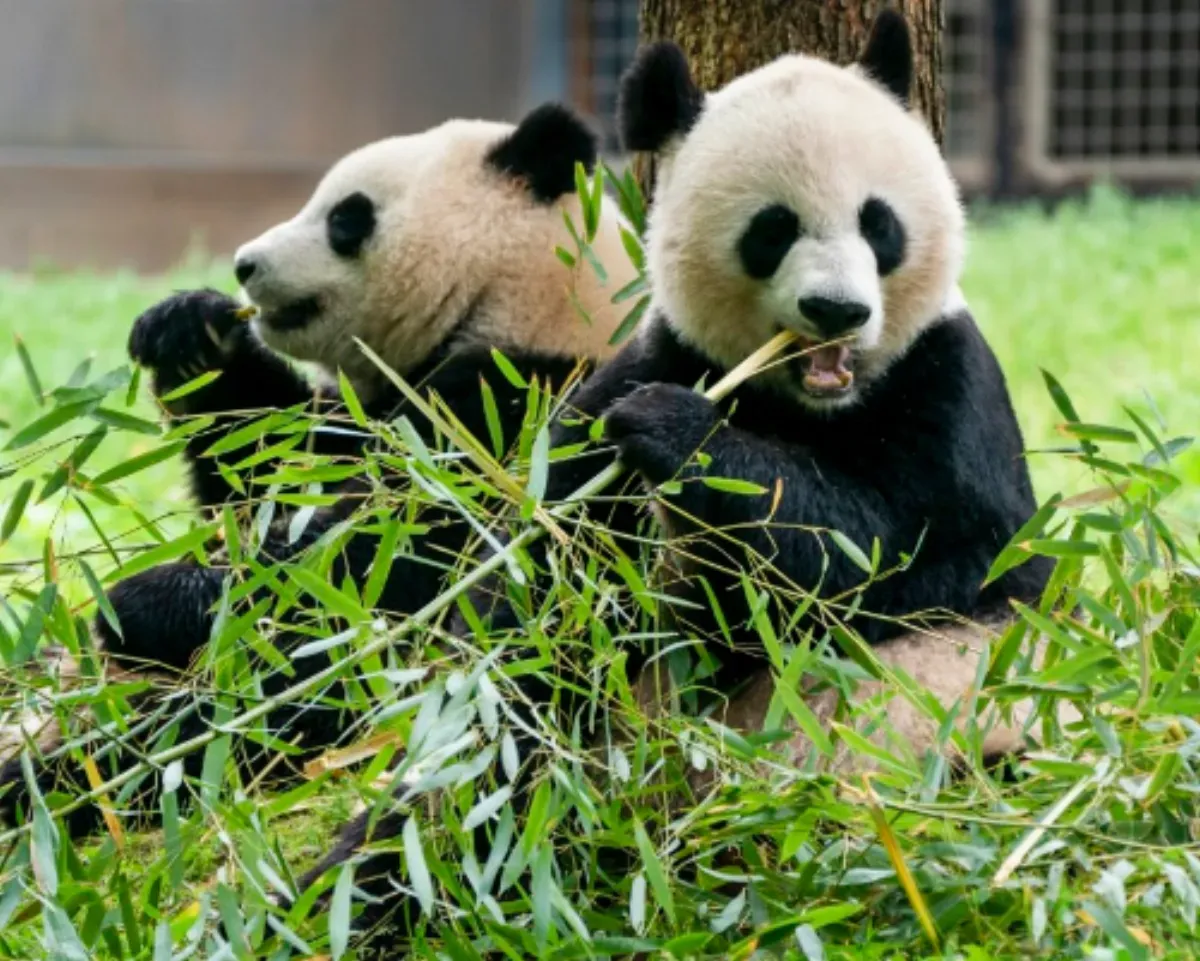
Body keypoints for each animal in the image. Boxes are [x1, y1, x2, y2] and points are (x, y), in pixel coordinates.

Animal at [0, 102, 639, 838]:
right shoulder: (367, 410)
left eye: (346, 217)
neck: (526, 298)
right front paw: (190, 331)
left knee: (254, 716)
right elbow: (264, 469)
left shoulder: (515, 412)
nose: (244, 264)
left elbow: (375, 564)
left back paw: (66, 778)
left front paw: (143, 601)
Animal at [290, 12, 1064, 948]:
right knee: (484, 790)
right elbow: (545, 603)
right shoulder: (637, 373)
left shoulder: (950, 390)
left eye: (879, 224)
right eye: (773, 228)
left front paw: (680, 435)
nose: (837, 312)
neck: (805, 403)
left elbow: (904, 558)